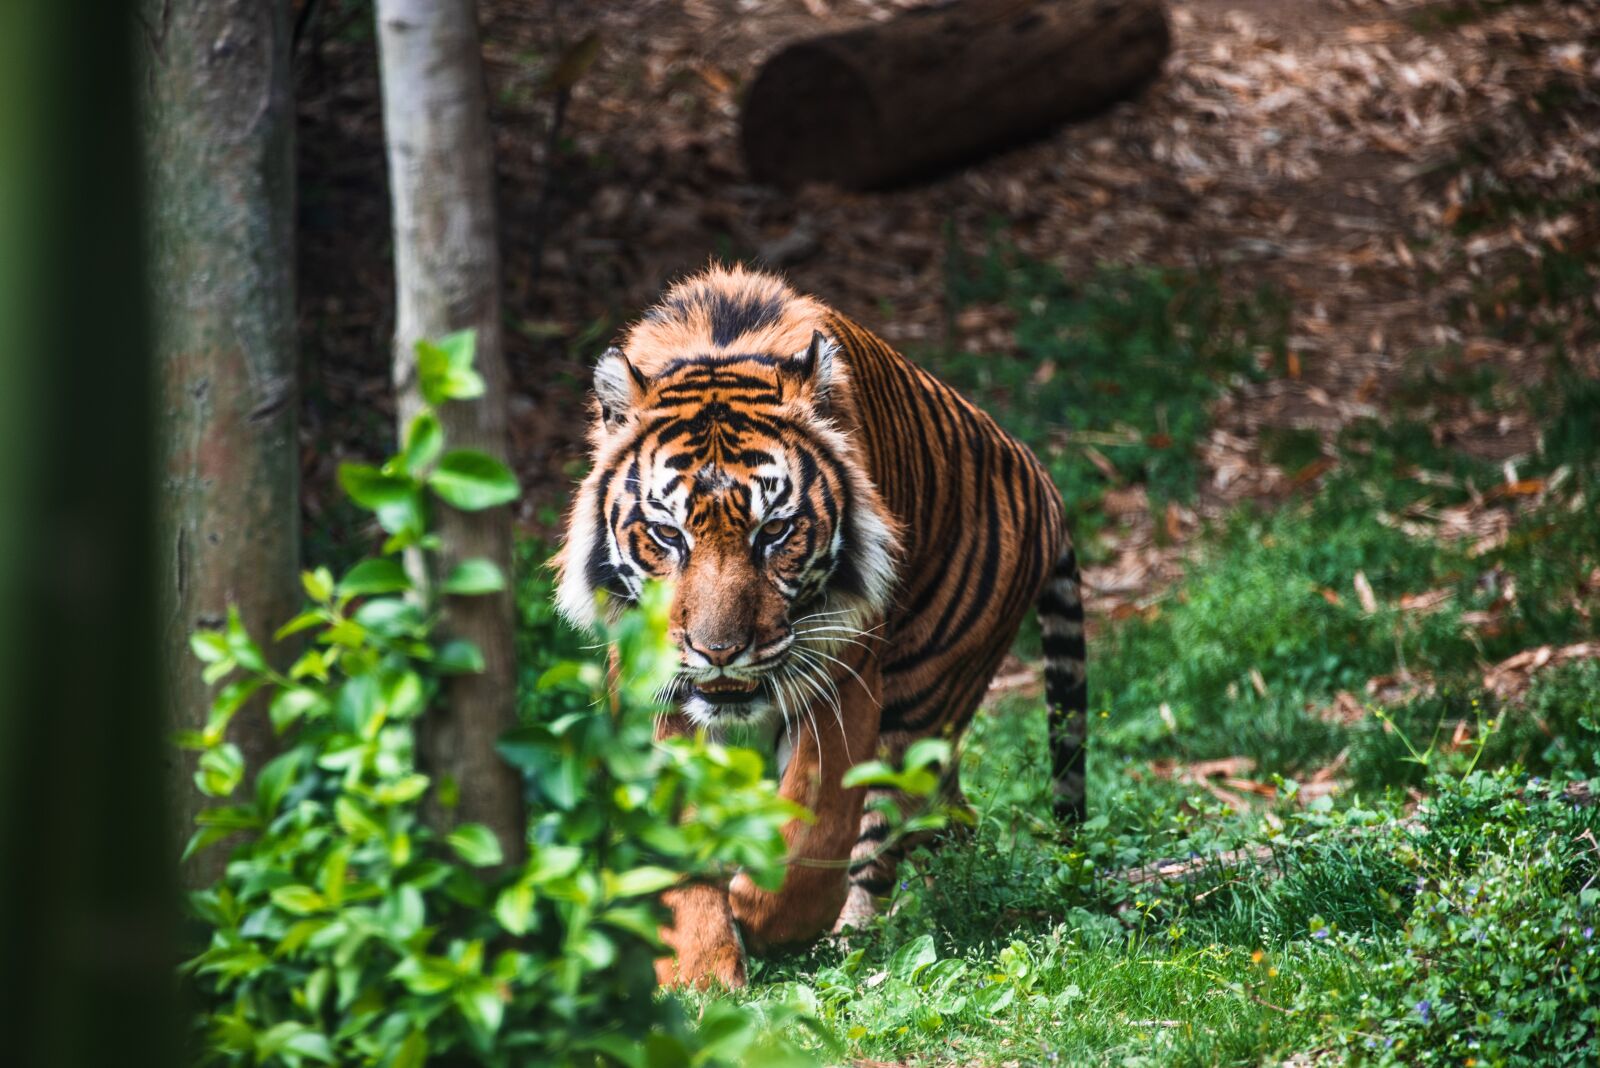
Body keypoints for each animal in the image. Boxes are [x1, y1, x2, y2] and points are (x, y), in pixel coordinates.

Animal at [554, 264, 1086, 988]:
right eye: (668, 535)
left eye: (774, 531)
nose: (719, 652)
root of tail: (1044, 483)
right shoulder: (654, 690)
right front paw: (700, 976)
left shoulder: (844, 675)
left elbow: (817, 822)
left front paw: (762, 919)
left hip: (922, 701)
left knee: (885, 832)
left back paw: (855, 938)